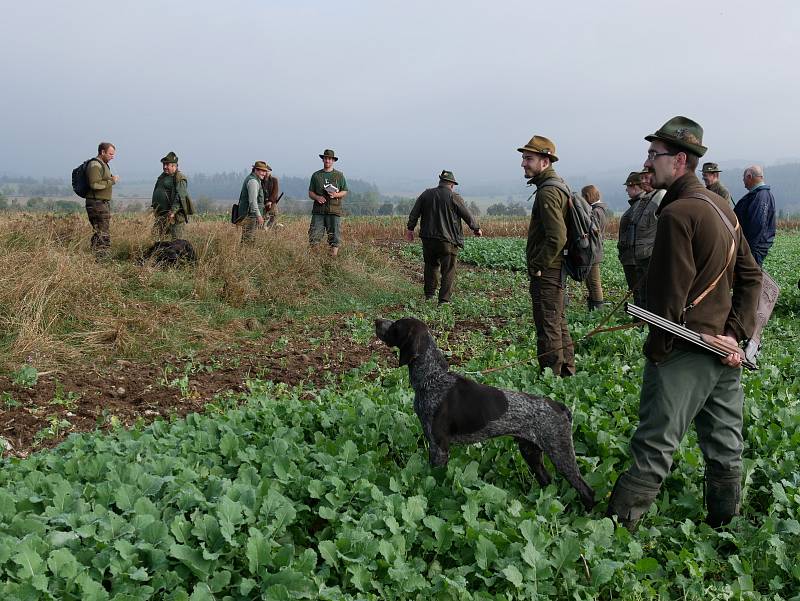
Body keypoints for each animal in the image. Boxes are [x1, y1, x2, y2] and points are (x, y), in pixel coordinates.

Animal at [376, 316, 592, 508]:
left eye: (396, 325)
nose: (377, 320)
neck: (432, 378)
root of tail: (559, 406)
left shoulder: (439, 447)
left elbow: (435, 479)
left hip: (560, 453)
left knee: (587, 490)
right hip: (530, 450)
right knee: (546, 480)